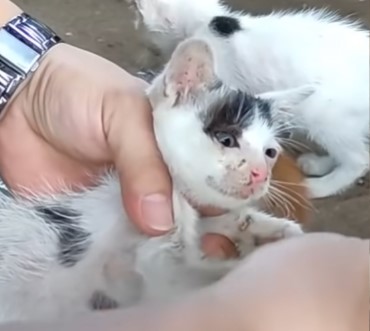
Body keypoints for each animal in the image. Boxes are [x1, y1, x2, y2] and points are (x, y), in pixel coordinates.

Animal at [131, 0, 370, 198]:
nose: (137, 28)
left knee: (359, 158)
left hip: (324, 113)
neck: (210, 21)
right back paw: (319, 164)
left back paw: (319, 187)